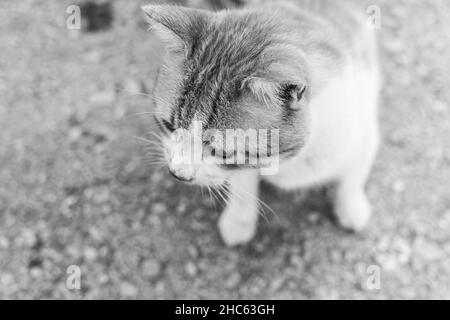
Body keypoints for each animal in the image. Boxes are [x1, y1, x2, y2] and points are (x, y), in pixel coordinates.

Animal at [143, 0, 380, 248]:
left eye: (222, 152)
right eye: (169, 126)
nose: (177, 174)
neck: (288, 161)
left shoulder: (364, 132)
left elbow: (353, 178)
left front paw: (351, 207)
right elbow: (243, 182)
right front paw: (240, 219)